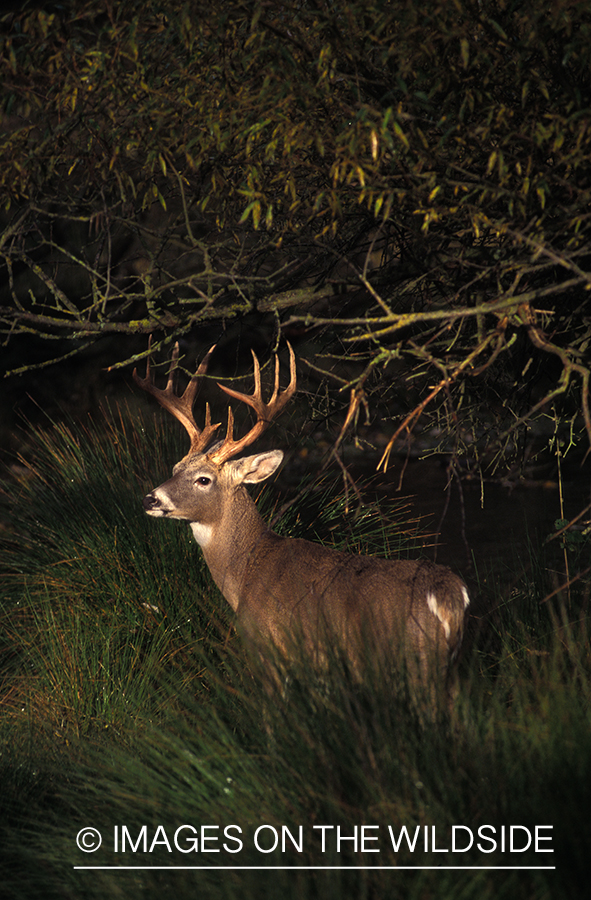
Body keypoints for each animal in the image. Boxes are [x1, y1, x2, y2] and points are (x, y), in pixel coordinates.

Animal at [135, 342, 472, 692]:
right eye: (175, 468)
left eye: (204, 479)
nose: (150, 498)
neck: (245, 570)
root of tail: (450, 597)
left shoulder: (268, 645)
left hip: (415, 661)